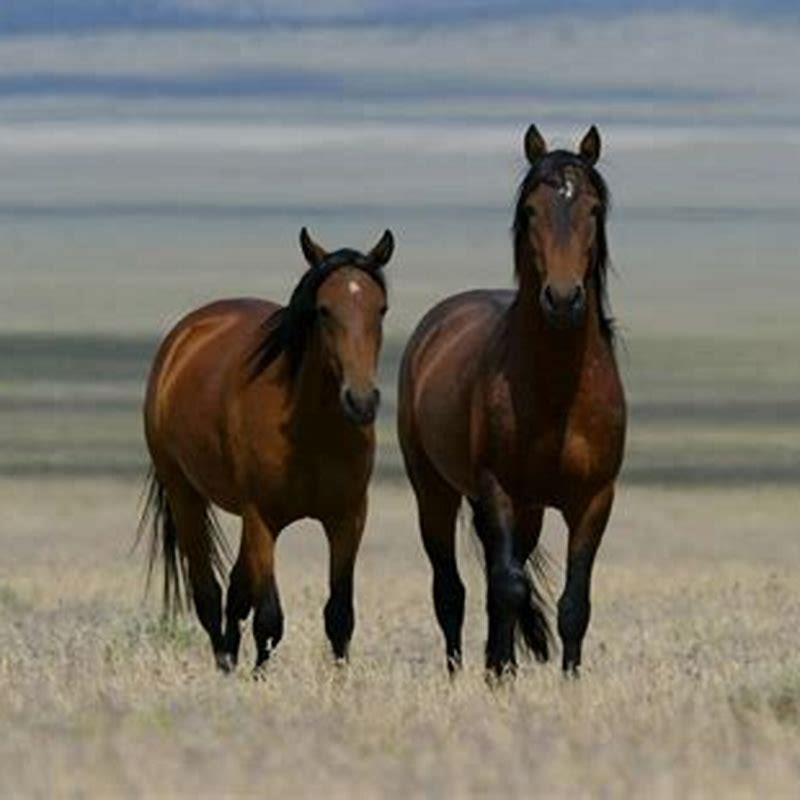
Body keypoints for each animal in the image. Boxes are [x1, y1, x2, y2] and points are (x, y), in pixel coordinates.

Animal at [139, 227, 395, 673]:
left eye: (380, 309)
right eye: (324, 310)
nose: (361, 401)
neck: (310, 429)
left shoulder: (348, 518)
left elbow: (339, 615)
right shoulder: (263, 519)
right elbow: (270, 617)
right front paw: (259, 677)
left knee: (236, 592)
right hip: (185, 496)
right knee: (209, 594)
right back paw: (225, 665)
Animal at [397, 125, 626, 678]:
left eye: (592, 208)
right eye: (531, 210)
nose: (563, 299)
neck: (558, 390)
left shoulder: (594, 500)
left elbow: (573, 602)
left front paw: (567, 680)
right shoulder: (497, 489)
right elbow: (506, 587)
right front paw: (499, 675)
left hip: (530, 509)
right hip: (435, 490)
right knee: (451, 590)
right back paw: (461, 670)